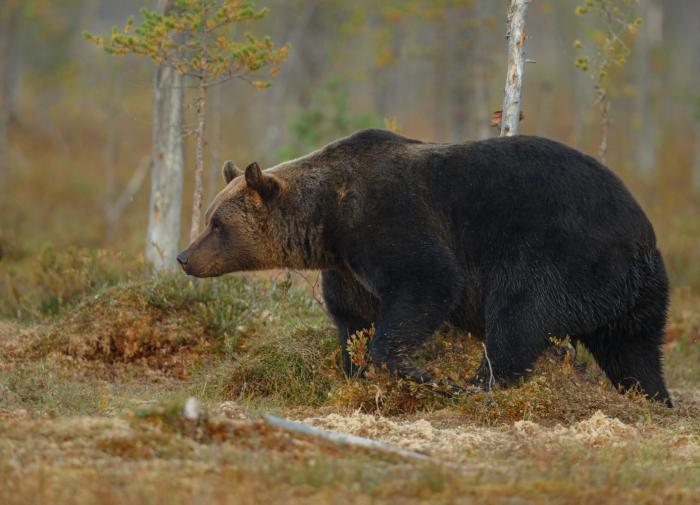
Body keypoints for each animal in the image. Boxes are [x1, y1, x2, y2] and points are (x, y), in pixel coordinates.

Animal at [179, 128, 672, 404]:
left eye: (217, 223)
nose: (184, 257)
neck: (327, 220)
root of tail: (641, 237)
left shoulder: (388, 219)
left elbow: (428, 282)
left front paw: (417, 371)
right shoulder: (347, 268)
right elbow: (352, 320)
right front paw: (355, 372)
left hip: (561, 253)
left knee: (519, 317)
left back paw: (478, 385)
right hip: (633, 294)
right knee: (635, 351)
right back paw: (652, 399)